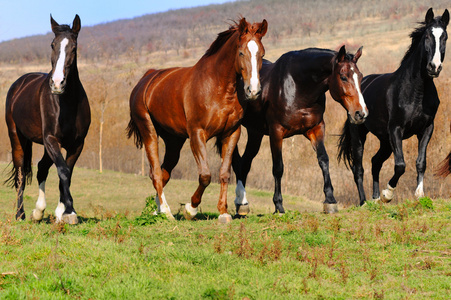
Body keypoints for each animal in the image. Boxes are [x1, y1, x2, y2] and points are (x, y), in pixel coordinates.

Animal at [4, 15, 90, 224]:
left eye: (74, 47)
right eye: (52, 44)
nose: (57, 83)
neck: (67, 102)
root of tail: (20, 83)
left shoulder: (77, 144)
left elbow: (66, 172)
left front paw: (62, 212)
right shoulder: (51, 139)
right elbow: (63, 171)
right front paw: (70, 211)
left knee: (42, 168)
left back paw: (39, 211)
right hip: (17, 138)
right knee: (20, 174)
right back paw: (21, 214)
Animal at [126, 17, 268, 223]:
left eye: (262, 54)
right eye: (241, 52)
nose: (253, 91)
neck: (217, 87)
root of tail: (147, 79)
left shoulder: (231, 134)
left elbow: (224, 173)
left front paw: (223, 212)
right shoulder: (197, 134)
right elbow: (205, 175)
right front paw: (190, 209)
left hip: (174, 141)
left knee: (164, 173)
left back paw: (158, 209)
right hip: (149, 132)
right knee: (156, 173)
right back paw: (166, 212)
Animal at [233, 44, 368, 214]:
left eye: (361, 77)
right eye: (343, 77)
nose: (361, 113)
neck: (297, 88)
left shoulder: (316, 129)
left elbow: (323, 159)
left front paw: (330, 200)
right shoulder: (276, 133)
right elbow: (278, 167)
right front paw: (278, 205)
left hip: (255, 133)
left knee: (245, 163)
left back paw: (242, 204)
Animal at [340, 8, 448, 206]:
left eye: (444, 37)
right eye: (427, 36)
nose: (434, 67)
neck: (416, 91)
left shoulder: (426, 128)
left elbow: (421, 162)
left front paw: (419, 194)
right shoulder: (396, 129)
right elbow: (400, 165)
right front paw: (388, 194)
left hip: (385, 141)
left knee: (375, 162)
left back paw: (375, 199)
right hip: (359, 134)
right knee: (358, 168)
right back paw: (364, 202)